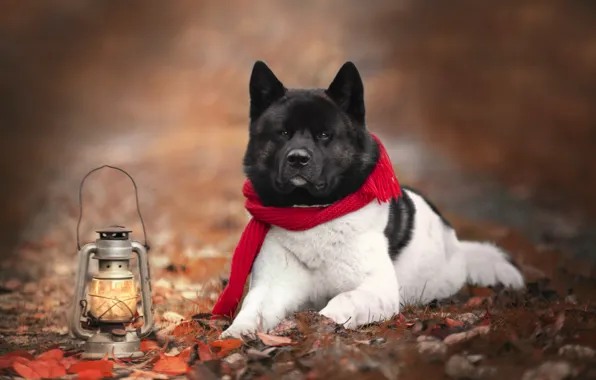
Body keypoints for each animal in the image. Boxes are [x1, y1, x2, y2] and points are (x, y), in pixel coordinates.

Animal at [219, 60, 520, 336]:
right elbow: (252, 309)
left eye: (324, 135)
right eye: (282, 133)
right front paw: (237, 333)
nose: (298, 158)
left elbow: (342, 300)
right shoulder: (272, 286)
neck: (314, 213)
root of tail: (458, 246)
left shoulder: (377, 290)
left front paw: (320, 322)